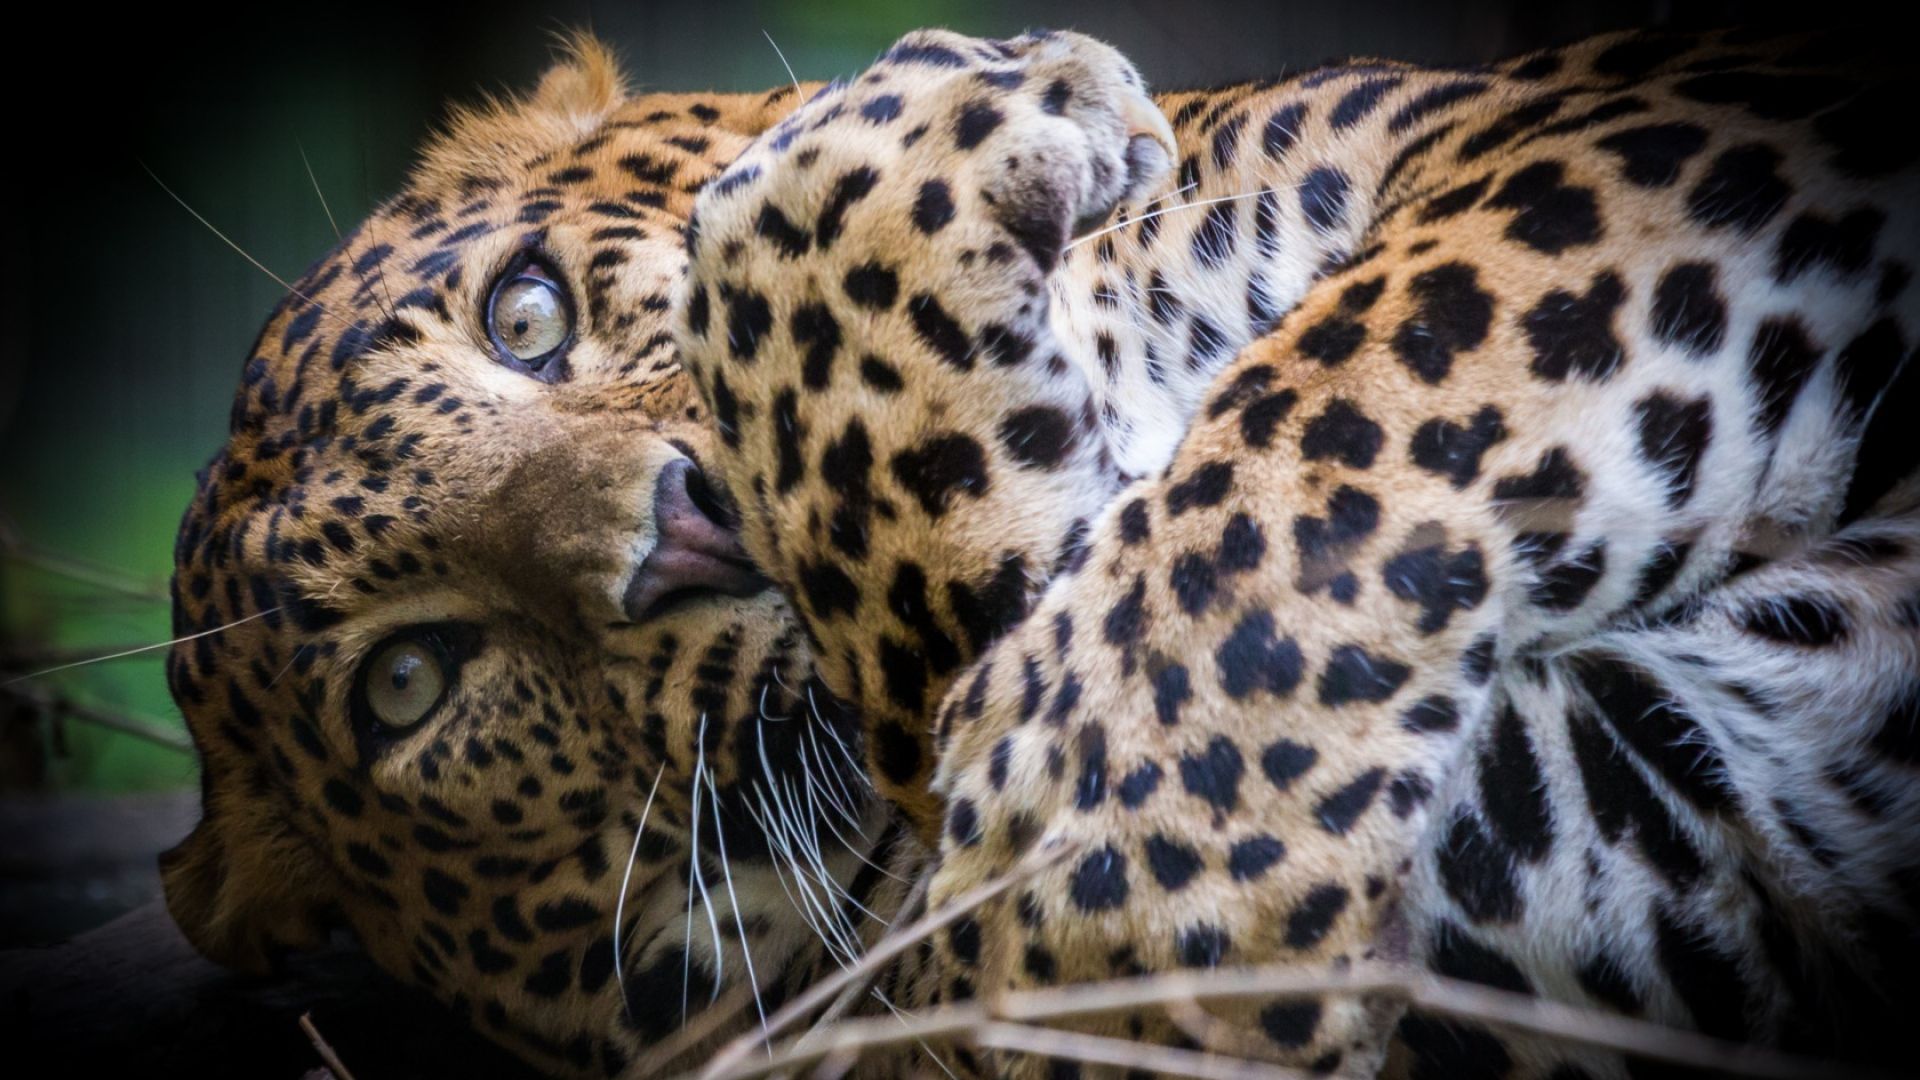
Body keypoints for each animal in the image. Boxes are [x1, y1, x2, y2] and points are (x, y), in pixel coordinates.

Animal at [161, 18, 1920, 1076]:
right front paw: (1108, 871)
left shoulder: (1611, 132)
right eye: (407, 684)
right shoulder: (1647, 825)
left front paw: (982, 98)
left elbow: (1355, 389)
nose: (683, 533)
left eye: (524, 314)